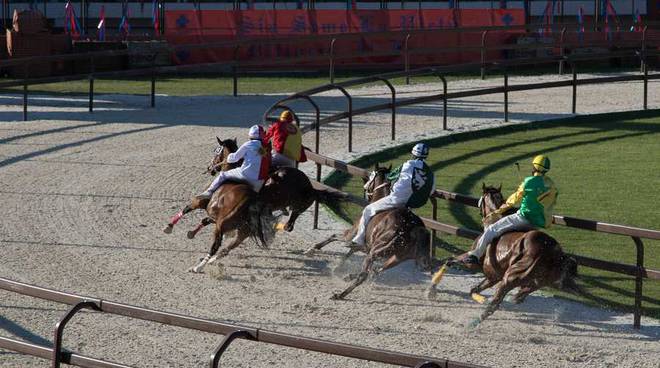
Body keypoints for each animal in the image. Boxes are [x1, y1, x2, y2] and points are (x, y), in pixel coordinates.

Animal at [310, 164, 434, 300]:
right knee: (376, 270)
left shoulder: (353, 235)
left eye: (370, 178)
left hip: (376, 252)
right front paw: (338, 267)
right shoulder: (365, 246)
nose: (365, 190)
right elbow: (350, 251)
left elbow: (335, 237)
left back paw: (341, 294)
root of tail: (412, 228)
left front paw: (313, 248)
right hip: (397, 257)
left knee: (365, 274)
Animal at [428, 184, 576, 322]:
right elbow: (473, 289)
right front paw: (480, 298)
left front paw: (431, 290)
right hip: (532, 283)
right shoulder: (493, 277)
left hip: (509, 279)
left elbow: (450, 260)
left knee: (495, 304)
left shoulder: (475, 264)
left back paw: (471, 324)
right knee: (514, 297)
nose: (481, 214)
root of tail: (551, 251)